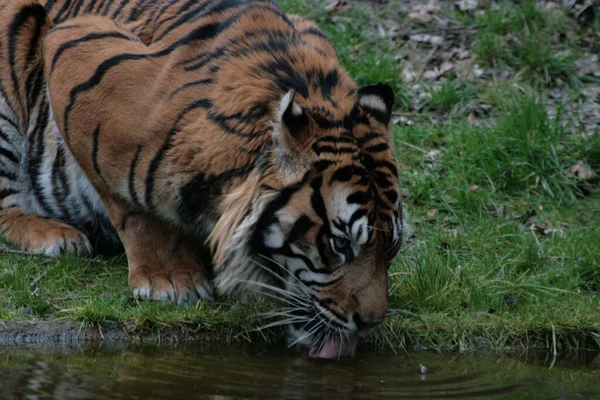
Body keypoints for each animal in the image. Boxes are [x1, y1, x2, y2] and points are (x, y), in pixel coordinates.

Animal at [0, 0, 408, 358]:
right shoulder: (76, 46)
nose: (370, 322)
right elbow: (130, 205)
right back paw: (55, 236)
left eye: (391, 247)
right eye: (340, 245)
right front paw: (170, 279)